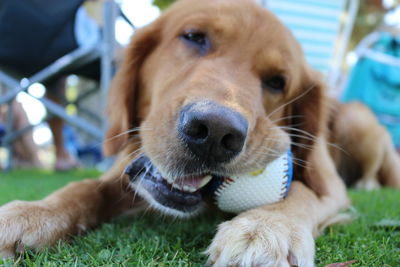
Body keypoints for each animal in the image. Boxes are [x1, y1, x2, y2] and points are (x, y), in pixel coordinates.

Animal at [0, 1, 400, 266]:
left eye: (277, 82)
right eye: (194, 37)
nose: (214, 133)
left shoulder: (330, 187)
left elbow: (300, 193)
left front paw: (267, 228)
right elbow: (82, 188)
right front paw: (31, 212)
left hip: (357, 120)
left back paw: (368, 184)